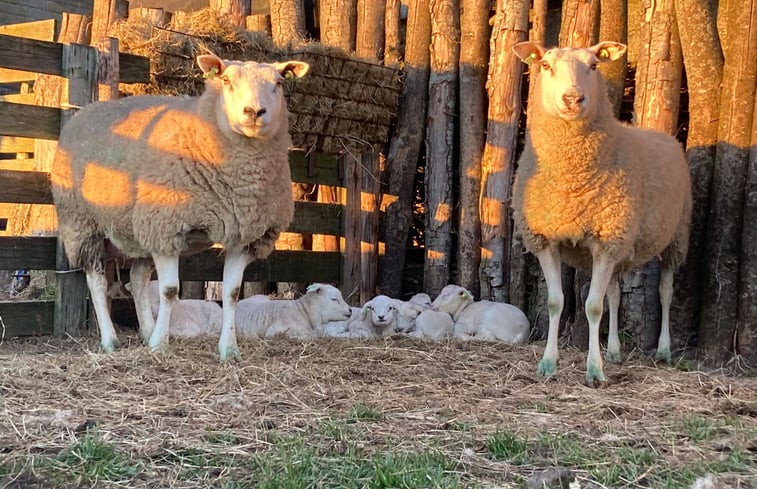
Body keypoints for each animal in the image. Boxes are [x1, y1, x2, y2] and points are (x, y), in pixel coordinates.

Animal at [50, 53, 308, 360]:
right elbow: (170, 290)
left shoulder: (244, 235)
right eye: (225, 80)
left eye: (279, 83)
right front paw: (160, 345)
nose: (254, 112)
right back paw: (111, 340)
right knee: (97, 281)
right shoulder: (167, 227)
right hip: (82, 222)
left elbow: (232, 293)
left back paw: (147, 331)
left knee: (137, 278)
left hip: (140, 229)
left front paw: (229, 349)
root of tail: (83, 112)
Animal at [508, 42, 692, 386]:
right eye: (546, 66)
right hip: (621, 244)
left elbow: (593, 307)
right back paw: (615, 351)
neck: (572, 182)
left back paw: (663, 350)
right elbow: (557, 302)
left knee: (665, 290)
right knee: (616, 294)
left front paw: (594, 370)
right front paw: (548, 364)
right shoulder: (547, 240)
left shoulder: (606, 241)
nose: (573, 98)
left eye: (594, 65)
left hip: (676, 237)